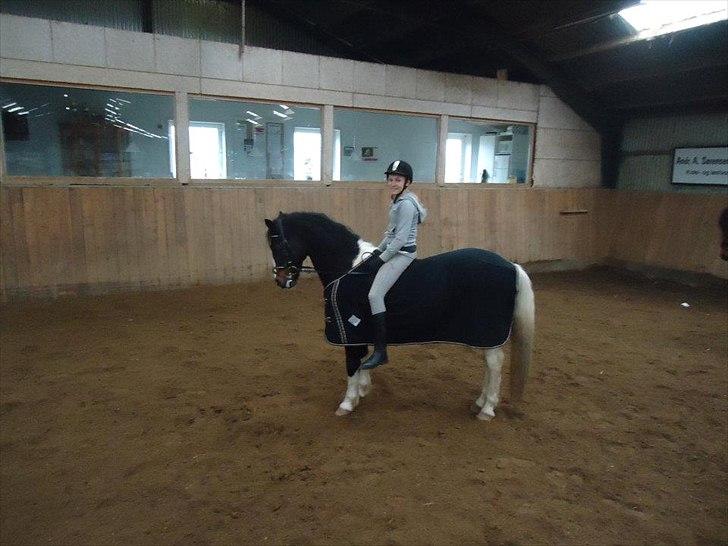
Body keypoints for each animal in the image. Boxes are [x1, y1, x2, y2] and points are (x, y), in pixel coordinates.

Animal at [264, 211, 535, 421]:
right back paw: (479, 403)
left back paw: (487, 409)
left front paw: (348, 403)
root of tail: (511, 266)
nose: (281, 280)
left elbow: (352, 365)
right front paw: (363, 390)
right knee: (489, 364)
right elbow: (362, 362)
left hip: (487, 333)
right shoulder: (359, 333)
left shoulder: (350, 333)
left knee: (495, 363)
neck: (349, 268)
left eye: (279, 244)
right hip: (482, 335)